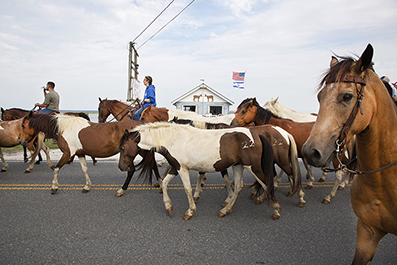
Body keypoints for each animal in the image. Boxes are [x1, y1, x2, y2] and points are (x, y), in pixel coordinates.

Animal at [18, 111, 158, 194]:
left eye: (23, 126)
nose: (21, 141)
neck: (64, 128)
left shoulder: (67, 153)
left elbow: (56, 168)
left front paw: (54, 187)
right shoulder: (80, 153)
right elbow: (84, 169)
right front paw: (87, 186)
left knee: (142, 167)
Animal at [119, 122, 280, 220]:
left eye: (122, 147)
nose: (122, 167)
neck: (172, 139)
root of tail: (256, 135)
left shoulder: (182, 169)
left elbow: (187, 189)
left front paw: (190, 211)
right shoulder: (176, 168)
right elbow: (164, 183)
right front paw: (168, 206)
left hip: (253, 167)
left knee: (267, 184)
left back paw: (276, 210)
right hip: (238, 166)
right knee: (239, 186)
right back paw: (225, 210)